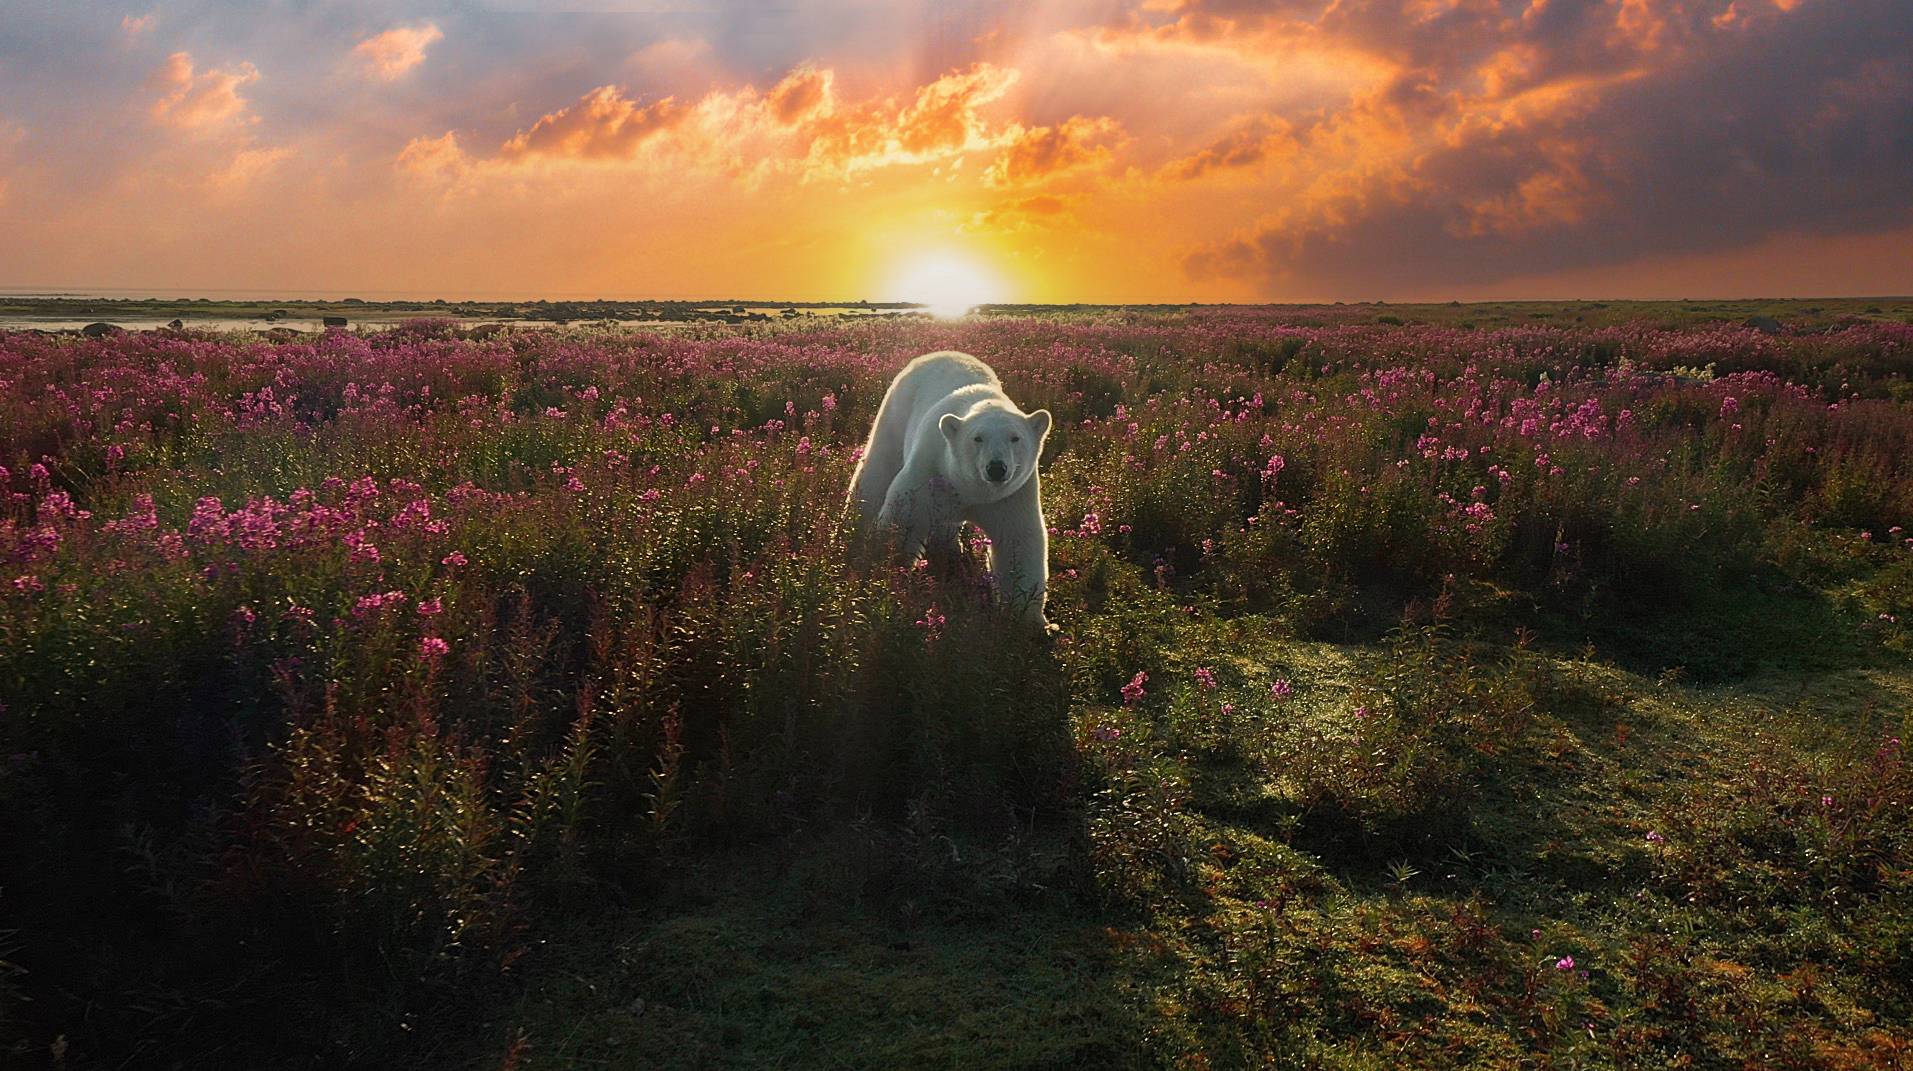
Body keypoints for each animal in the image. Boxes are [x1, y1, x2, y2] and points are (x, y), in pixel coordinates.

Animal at [849, 350, 1053, 626]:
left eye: (1015, 438)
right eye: (978, 438)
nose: (996, 468)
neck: (970, 489)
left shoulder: (1012, 494)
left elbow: (1018, 540)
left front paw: (1028, 620)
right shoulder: (930, 467)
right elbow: (905, 518)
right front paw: (886, 569)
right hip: (895, 413)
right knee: (877, 469)